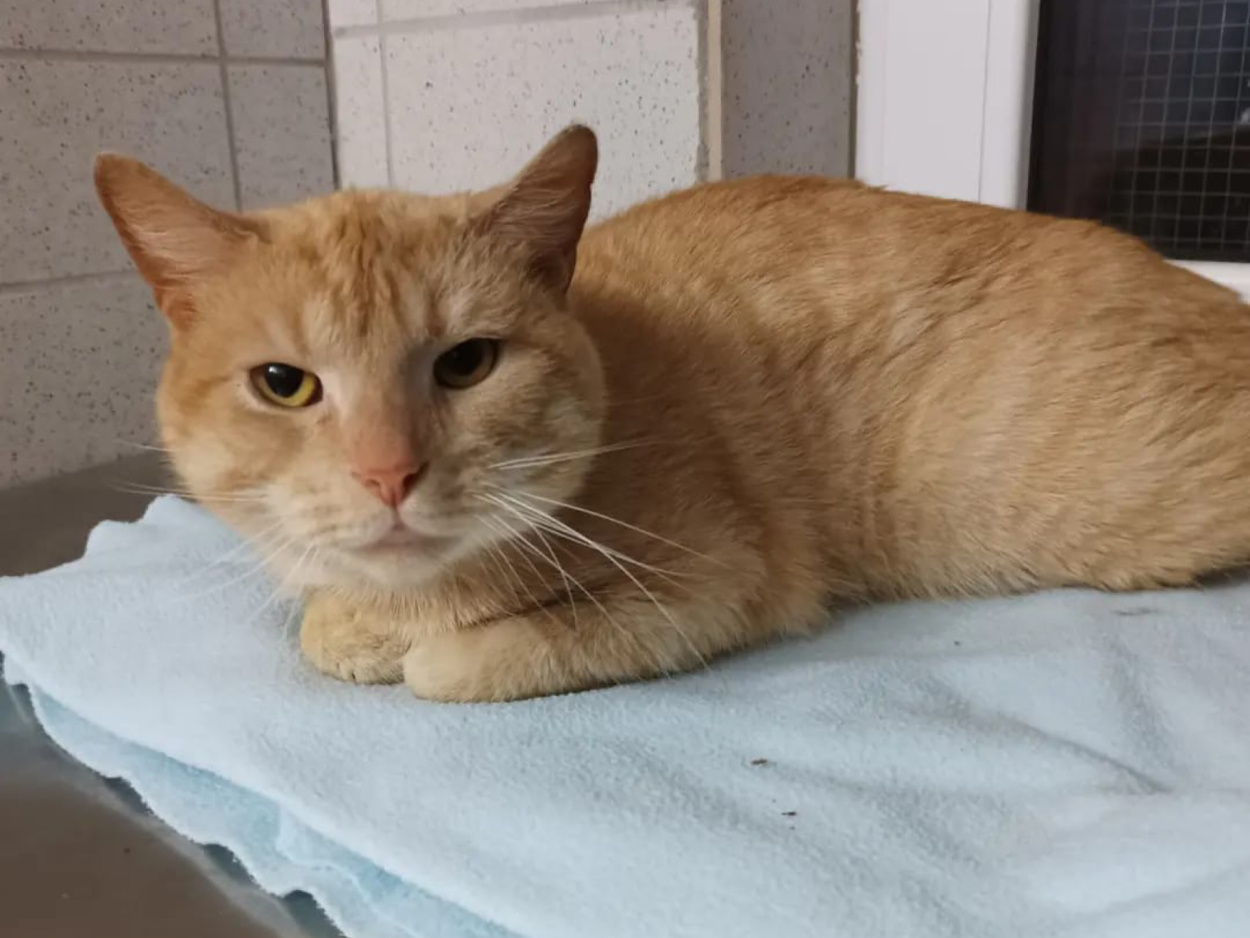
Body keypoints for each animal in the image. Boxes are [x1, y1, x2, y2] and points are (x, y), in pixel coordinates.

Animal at [94, 125, 1250, 702]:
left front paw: (425, 645)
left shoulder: (711, 583)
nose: (387, 473)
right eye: (284, 383)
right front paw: (354, 621)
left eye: (466, 362)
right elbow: (324, 622)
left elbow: (455, 662)